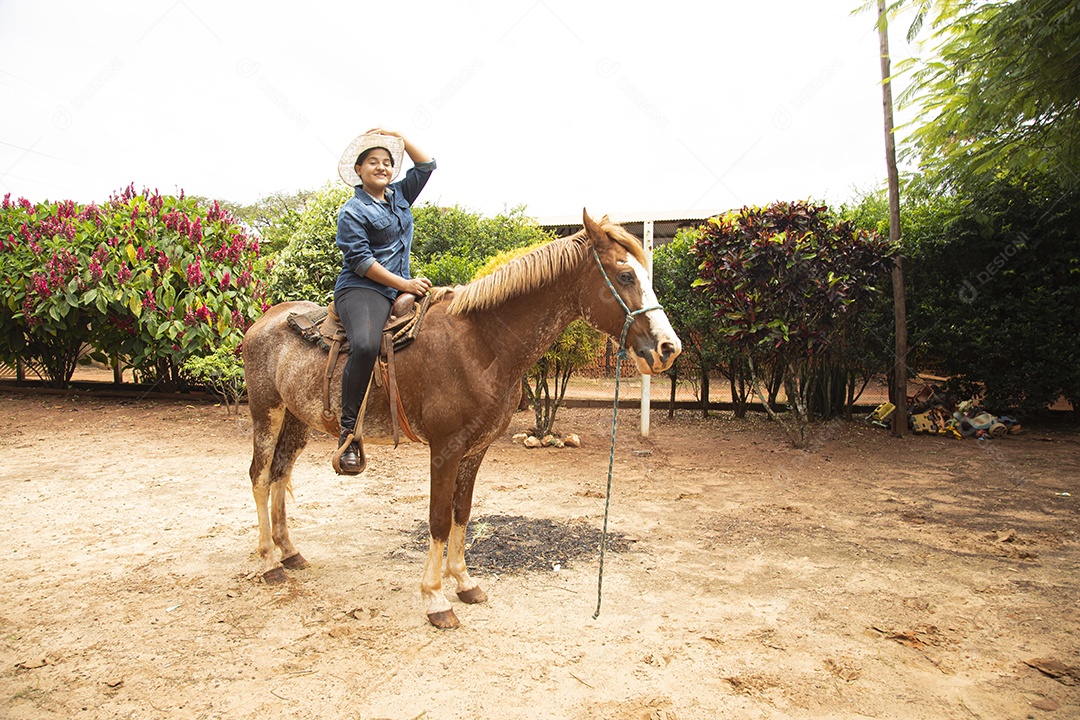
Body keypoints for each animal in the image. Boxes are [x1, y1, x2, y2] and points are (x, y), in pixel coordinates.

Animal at [245, 207, 682, 626]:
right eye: (625, 274)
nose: (668, 348)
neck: (481, 343)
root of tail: (263, 320)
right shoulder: (445, 449)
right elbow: (439, 519)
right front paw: (435, 598)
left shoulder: (476, 448)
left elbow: (462, 512)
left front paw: (464, 582)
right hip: (266, 412)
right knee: (261, 476)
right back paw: (269, 561)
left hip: (295, 418)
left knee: (281, 473)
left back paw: (289, 553)